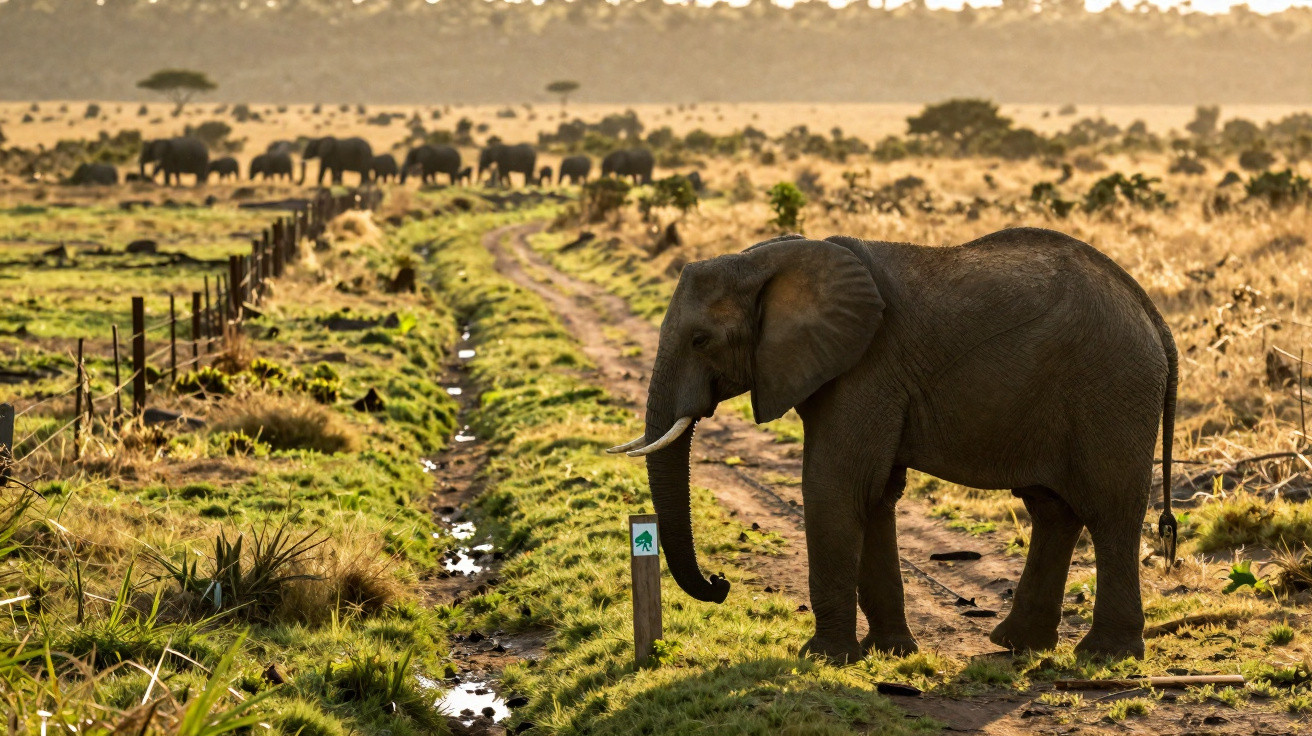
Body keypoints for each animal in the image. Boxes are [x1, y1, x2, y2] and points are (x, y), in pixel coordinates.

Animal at [611, 228, 1178, 663]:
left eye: (700, 340)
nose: (721, 581)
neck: (771, 259)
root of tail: (1152, 314)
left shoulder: (866, 369)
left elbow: (835, 488)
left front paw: (823, 659)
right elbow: (874, 496)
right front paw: (890, 653)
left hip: (1112, 387)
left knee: (1109, 512)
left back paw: (1104, 655)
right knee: (1053, 510)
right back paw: (1018, 645)